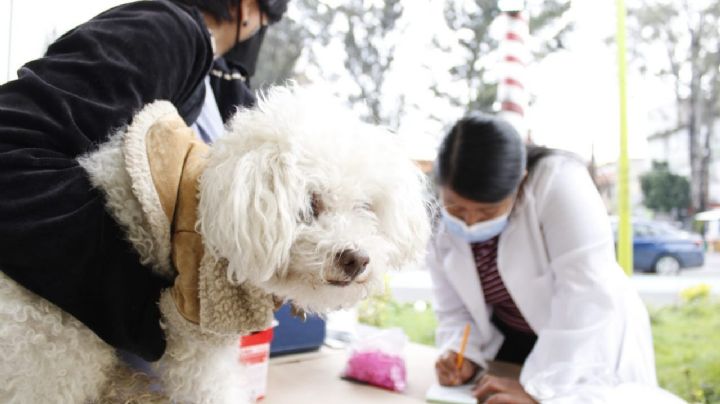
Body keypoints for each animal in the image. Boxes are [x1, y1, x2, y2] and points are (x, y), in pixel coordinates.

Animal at [0, 86, 428, 404]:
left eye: (365, 207)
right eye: (310, 205)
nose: (356, 258)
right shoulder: (191, 317)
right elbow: (208, 385)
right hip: (59, 345)